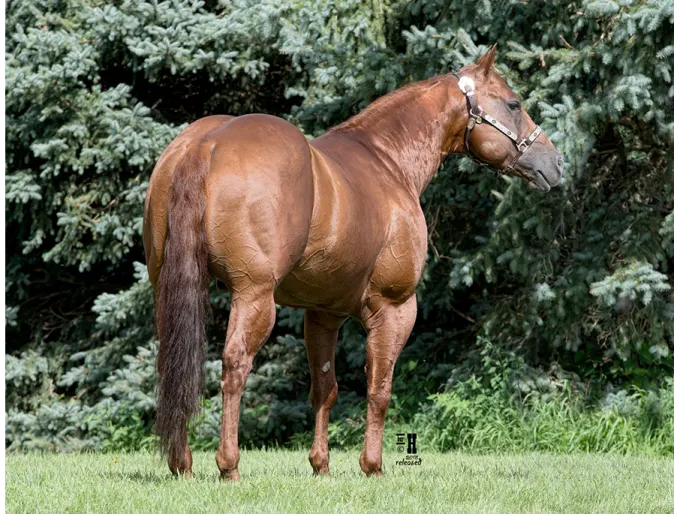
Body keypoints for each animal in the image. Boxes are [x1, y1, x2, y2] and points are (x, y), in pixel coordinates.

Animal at [143, 46, 560, 478]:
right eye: (513, 104)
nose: (555, 163)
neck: (388, 162)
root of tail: (205, 144)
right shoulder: (394, 307)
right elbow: (379, 389)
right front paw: (372, 465)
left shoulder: (323, 314)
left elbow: (325, 390)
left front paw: (321, 465)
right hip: (253, 295)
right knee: (235, 365)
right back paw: (229, 466)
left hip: (168, 289)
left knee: (173, 363)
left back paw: (182, 463)